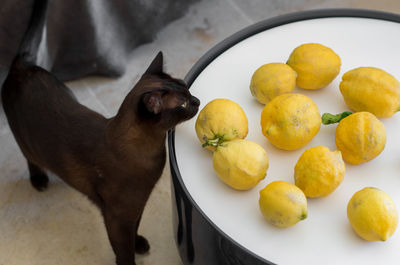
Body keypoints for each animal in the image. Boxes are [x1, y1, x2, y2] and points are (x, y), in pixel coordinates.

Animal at [0, 1, 200, 262]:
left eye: (187, 89)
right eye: (184, 104)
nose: (198, 101)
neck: (152, 153)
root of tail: (21, 67)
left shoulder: (137, 206)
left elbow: (135, 228)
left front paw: (139, 244)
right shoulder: (118, 216)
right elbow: (123, 250)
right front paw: (131, 256)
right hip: (26, 142)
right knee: (30, 158)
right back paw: (39, 181)